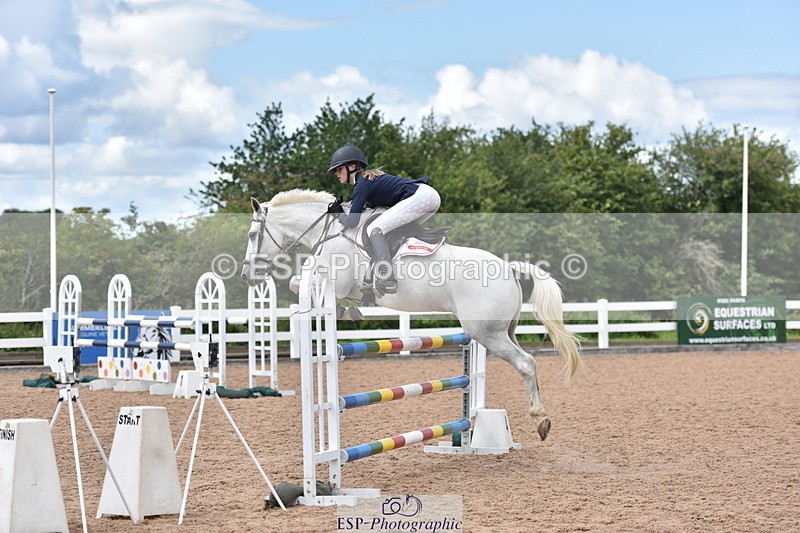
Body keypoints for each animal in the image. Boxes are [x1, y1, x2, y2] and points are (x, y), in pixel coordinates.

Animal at [241, 188, 581, 440]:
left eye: (251, 235)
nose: (248, 277)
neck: (330, 233)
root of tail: (509, 267)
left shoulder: (337, 282)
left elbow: (298, 283)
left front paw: (345, 310)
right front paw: (345, 311)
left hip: (487, 333)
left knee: (526, 363)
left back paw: (541, 420)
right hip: (501, 331)